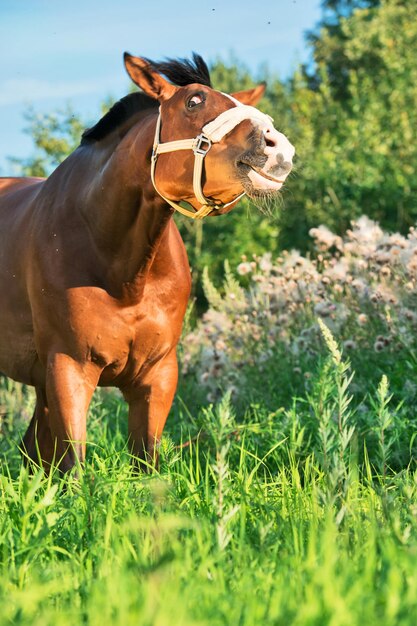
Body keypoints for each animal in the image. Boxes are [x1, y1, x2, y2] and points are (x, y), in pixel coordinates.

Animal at [0, 53, 294, 470]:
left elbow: (145, 461)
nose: (277, 146)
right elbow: (74, 463)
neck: (123, 273)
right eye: (194, 101)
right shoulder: (69, 367)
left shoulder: (158, 374)